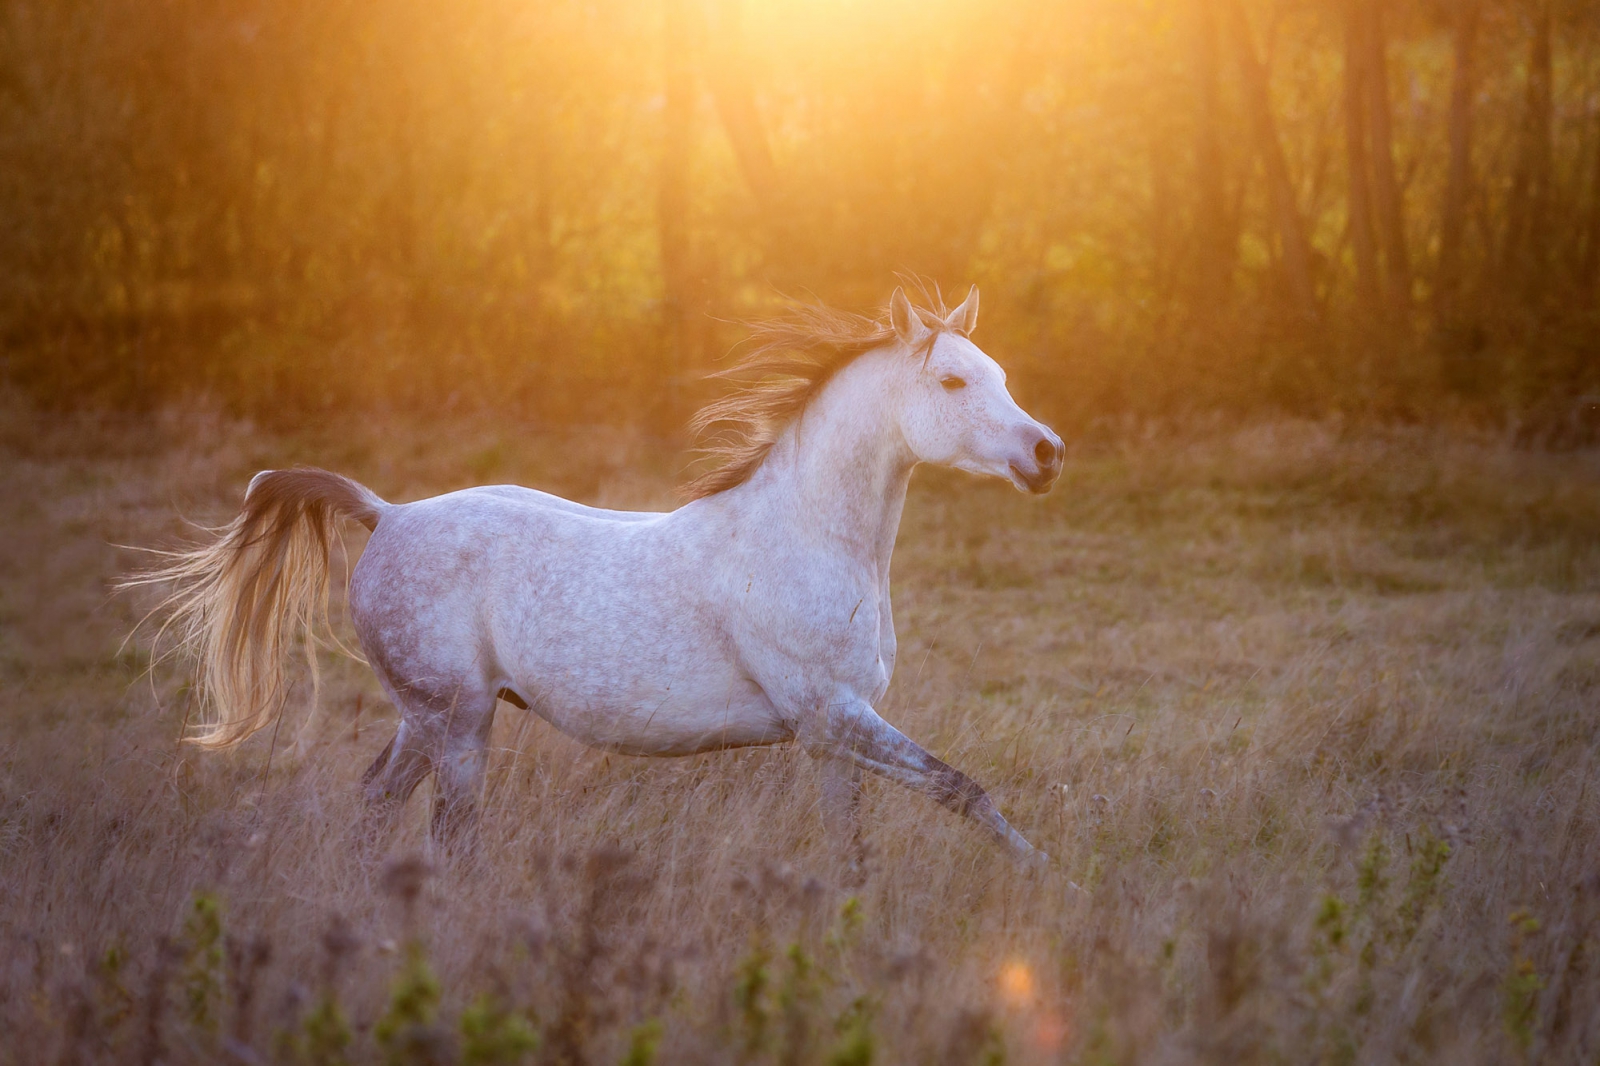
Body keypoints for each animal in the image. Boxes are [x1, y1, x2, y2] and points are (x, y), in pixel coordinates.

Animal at [137, 284, 1062, 864]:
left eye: (1000, 375)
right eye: (953, 380)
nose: (1047, 453)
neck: (804, 537)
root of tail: (387, 514)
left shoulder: (830, 737)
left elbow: (855, 850)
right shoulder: (832, 715)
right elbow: (965, 791)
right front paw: (1050, 881)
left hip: (424, 719)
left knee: (374, 805)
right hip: (458, 722)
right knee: (451, 840)